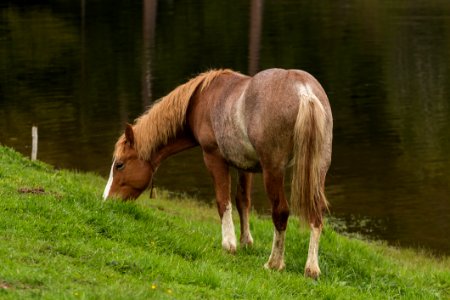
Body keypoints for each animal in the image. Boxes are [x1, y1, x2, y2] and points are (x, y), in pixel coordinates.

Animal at [103, 68, 332, 278]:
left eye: (120, 165)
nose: (107, 201)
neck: (199, 99)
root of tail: (304, 91)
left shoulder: (214, 158)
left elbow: (223, 202)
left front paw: (229, 244)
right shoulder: (244, 165)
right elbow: (242, 201)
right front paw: (246, 241)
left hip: (273, 170)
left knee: (281, 212)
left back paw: (274, 263)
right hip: (318, 169)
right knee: (316, 213)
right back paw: (312, 269)